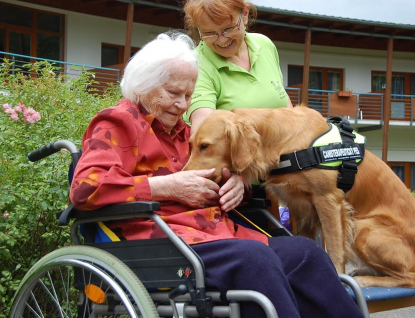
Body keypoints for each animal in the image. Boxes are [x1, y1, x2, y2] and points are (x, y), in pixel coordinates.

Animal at [184, 107, 415, 288]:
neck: (287, 145)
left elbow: (334, 248)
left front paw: (336, 275)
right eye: (192, 145)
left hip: (365, 228)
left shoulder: (328, 200)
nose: (184, 174)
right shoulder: (301, 209)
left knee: (409, 277)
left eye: (205, 146)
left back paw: (366, 279)